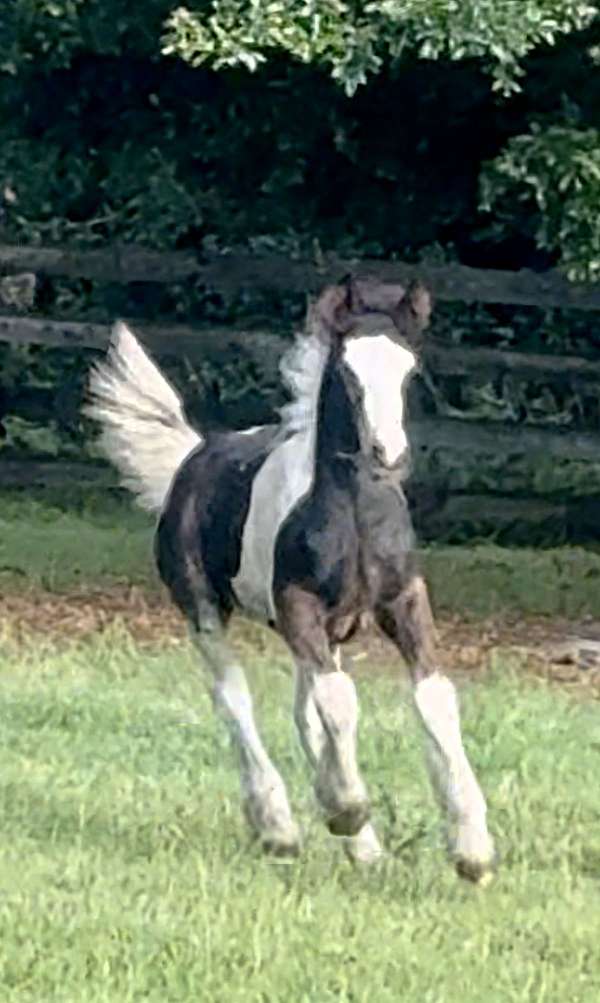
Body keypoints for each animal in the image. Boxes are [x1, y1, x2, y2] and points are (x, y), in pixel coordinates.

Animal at [85, 276, 497, 886]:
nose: (389, 454)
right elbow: (339, 704)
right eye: (348, 371)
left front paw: (472, 849)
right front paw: (347, 807)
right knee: (235, 698)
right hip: (206, 609)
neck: (353, 514)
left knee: (307, 712)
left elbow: (432, 698)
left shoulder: (402, 600)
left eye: (407, 369)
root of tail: (193, 455)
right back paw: (281, 827)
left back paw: (360, 845)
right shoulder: (298, 603)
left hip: (325, 631)